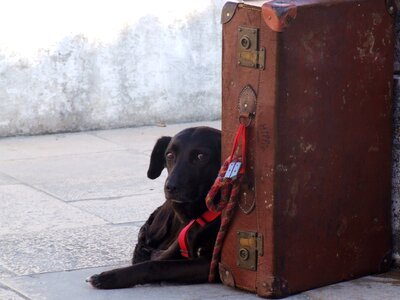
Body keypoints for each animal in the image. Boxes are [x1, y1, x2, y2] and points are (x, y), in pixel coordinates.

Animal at [87, 126, 222, 288]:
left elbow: (154, 265)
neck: (201, 214)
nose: (170, 187)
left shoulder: (212, 266)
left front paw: (110, 277)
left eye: (201, 156)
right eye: (169, 155)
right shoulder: (176, 249)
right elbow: (154, 261)